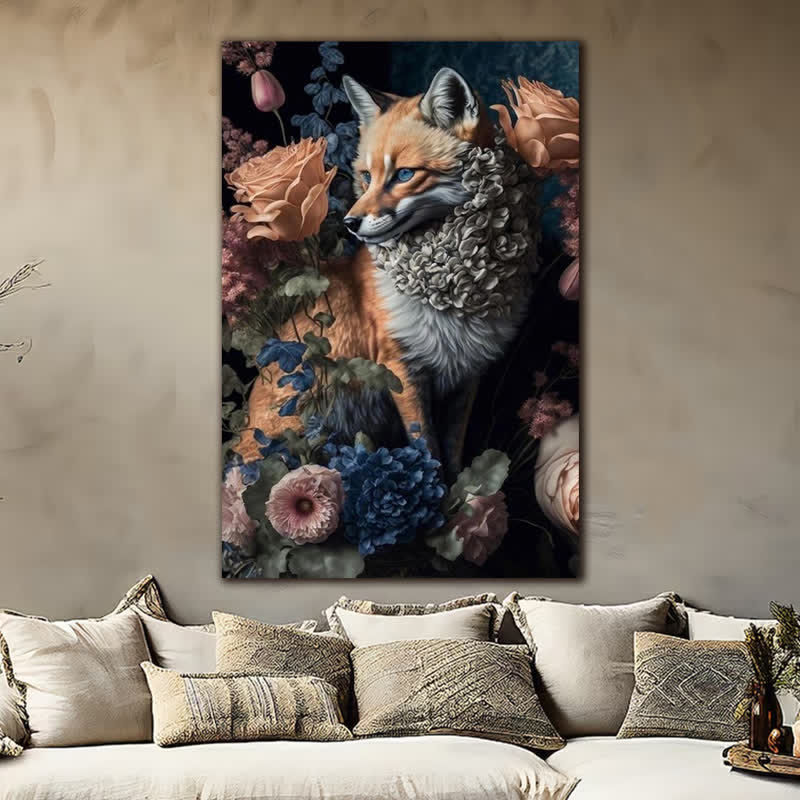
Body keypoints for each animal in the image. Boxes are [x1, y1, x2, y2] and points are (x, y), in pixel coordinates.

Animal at [236, 67, 534, 476]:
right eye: (366, 176)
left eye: (404, 174)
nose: (350, 223)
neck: (452, 293)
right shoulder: (401, 367)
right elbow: (429, 450)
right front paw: (439, 494)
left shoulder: (467, 374)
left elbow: (452, 452)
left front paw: (464, 492)